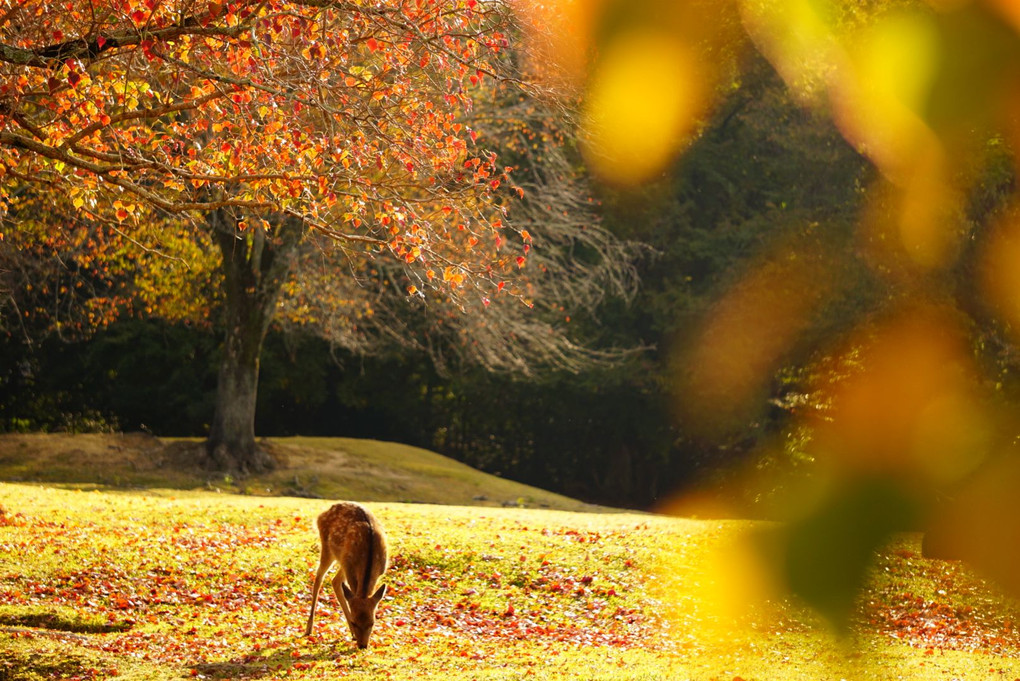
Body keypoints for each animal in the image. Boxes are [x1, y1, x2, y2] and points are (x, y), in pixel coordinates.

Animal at [303, 499, 387, 648]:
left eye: (372, 622)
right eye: (354, 621)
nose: (362, 645)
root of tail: (322, 514)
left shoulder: (379, 570)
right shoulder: (350, 567)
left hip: (342, 559)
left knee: (335, 581)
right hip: (328, 547)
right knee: (319, 577)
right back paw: (309, 628)